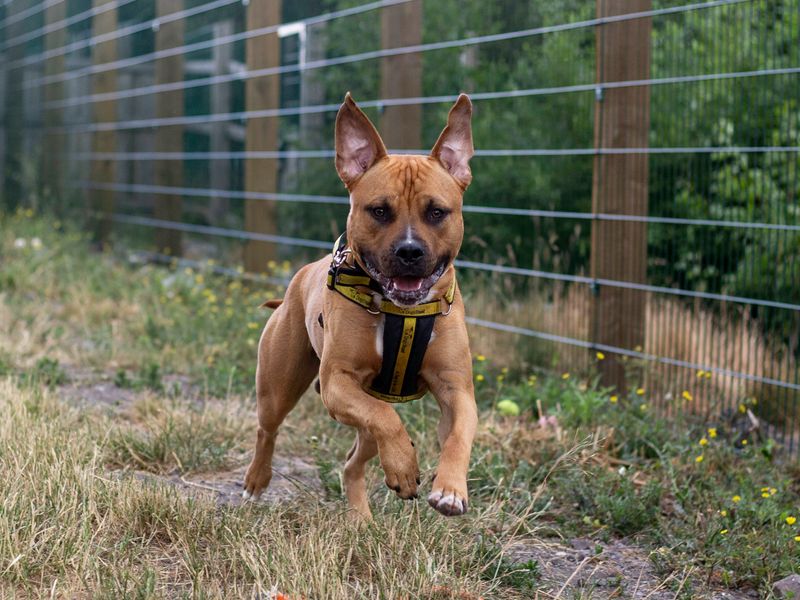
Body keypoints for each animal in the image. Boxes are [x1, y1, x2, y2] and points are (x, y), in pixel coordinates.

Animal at [241, 91, 478, 516]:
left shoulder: (457, 390)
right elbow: (385, 418)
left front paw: (450, 489)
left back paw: (361, 519)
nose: (409, 251)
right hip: (279, 386)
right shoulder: (339, 383)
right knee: (268, 428)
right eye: (379, 210)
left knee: (354, 461)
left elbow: (457, 435)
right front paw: (404, 465)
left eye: (437, 211)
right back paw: (256, 481)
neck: (402, 312)